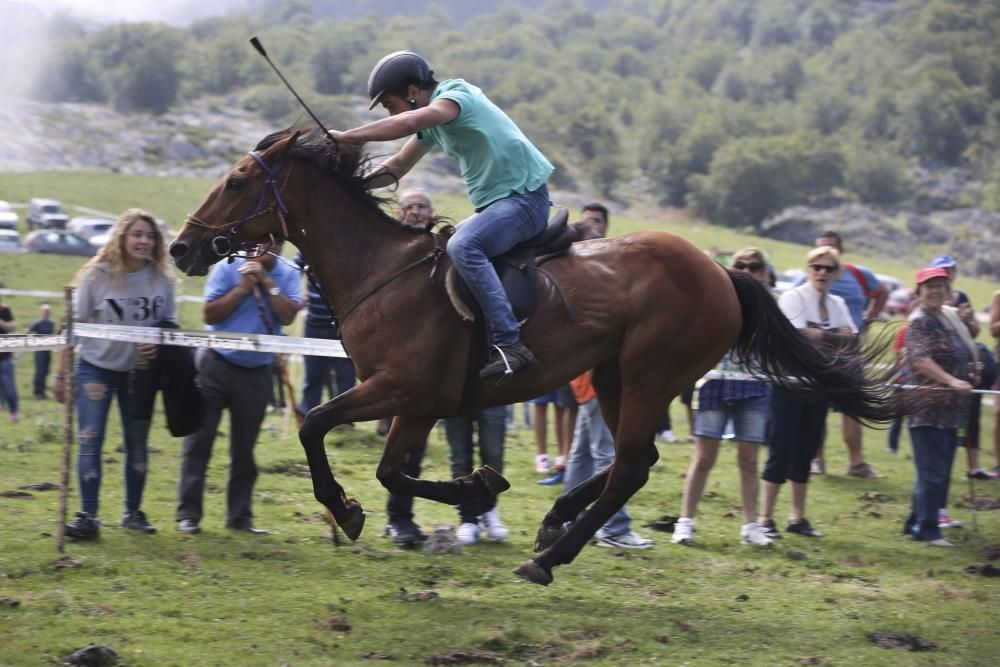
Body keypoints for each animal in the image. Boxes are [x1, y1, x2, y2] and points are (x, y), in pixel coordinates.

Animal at [170, 128, 900, 588]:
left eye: (236, 181)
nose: (180, 248)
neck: (381, 271)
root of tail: (724, 273)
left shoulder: (397, 386)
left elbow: (318, 426)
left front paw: (349, 508)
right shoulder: (418, 401)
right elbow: (390, 471)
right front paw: (473, 485)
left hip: (649, 373)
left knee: (629, 465)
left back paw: (552, 553)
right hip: (613, 372)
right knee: (632, 462)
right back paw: (555, 524)